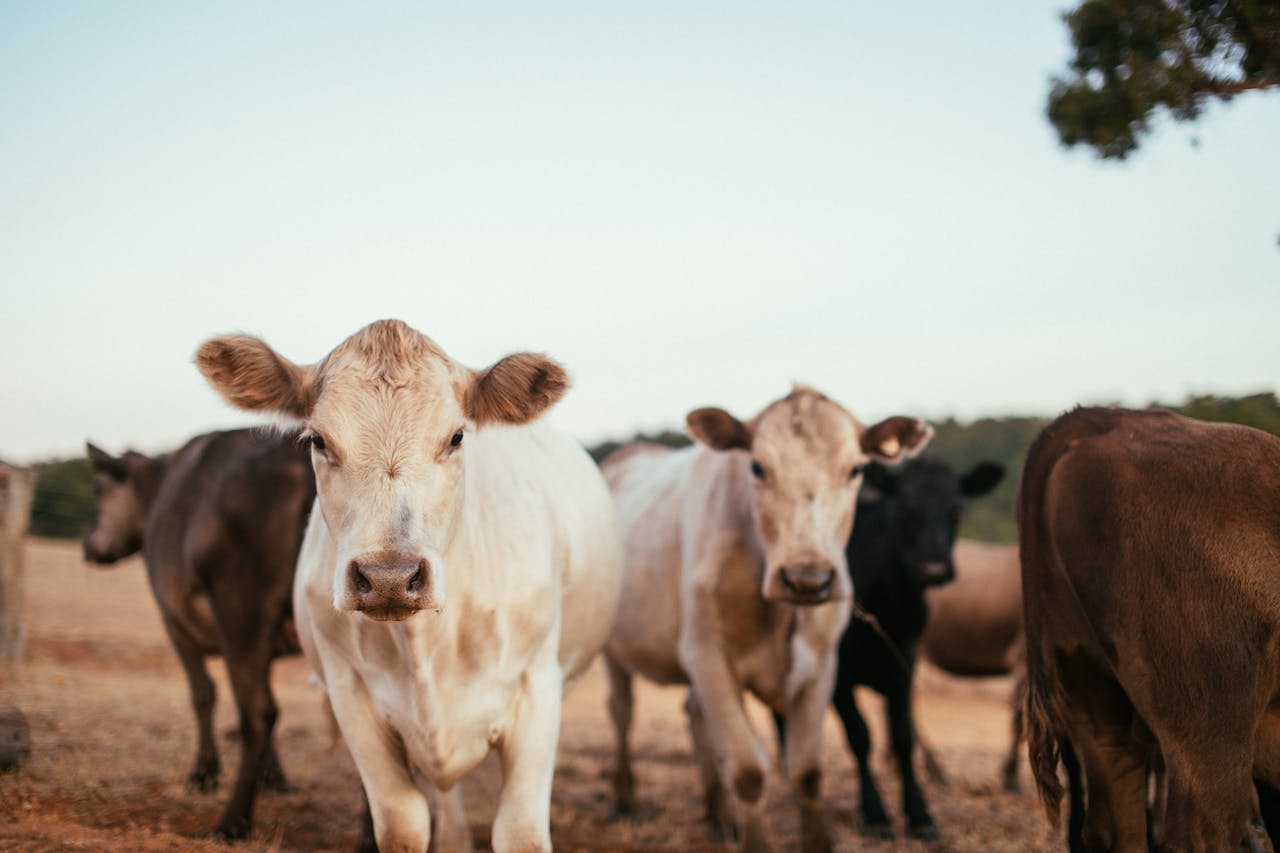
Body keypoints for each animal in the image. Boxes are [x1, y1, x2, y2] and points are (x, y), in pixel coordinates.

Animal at [82, 427, 314, 835]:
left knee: (258, 712)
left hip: (241, 609)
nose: (88, 545)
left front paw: (203, 773)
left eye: (98, 489)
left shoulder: (175, 623)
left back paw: (233, 822)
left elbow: (202, 694)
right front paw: (273, 777)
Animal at [193, 317, 624, 850]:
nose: (389, 578)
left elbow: (520, 831)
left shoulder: (538, 690)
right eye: (318, 440)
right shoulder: (350, 694)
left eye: (457, 437)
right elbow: (403, 822)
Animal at [599, 386, 931, 850]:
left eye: (855, 470)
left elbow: (807, 771)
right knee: (622, 711)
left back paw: (719, 815)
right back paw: (625, 796)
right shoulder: (708, 657)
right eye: (757, 467)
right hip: (614, 649)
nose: (808, 579)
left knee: (695, 717)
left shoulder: (822, 667)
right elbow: (749, 770)